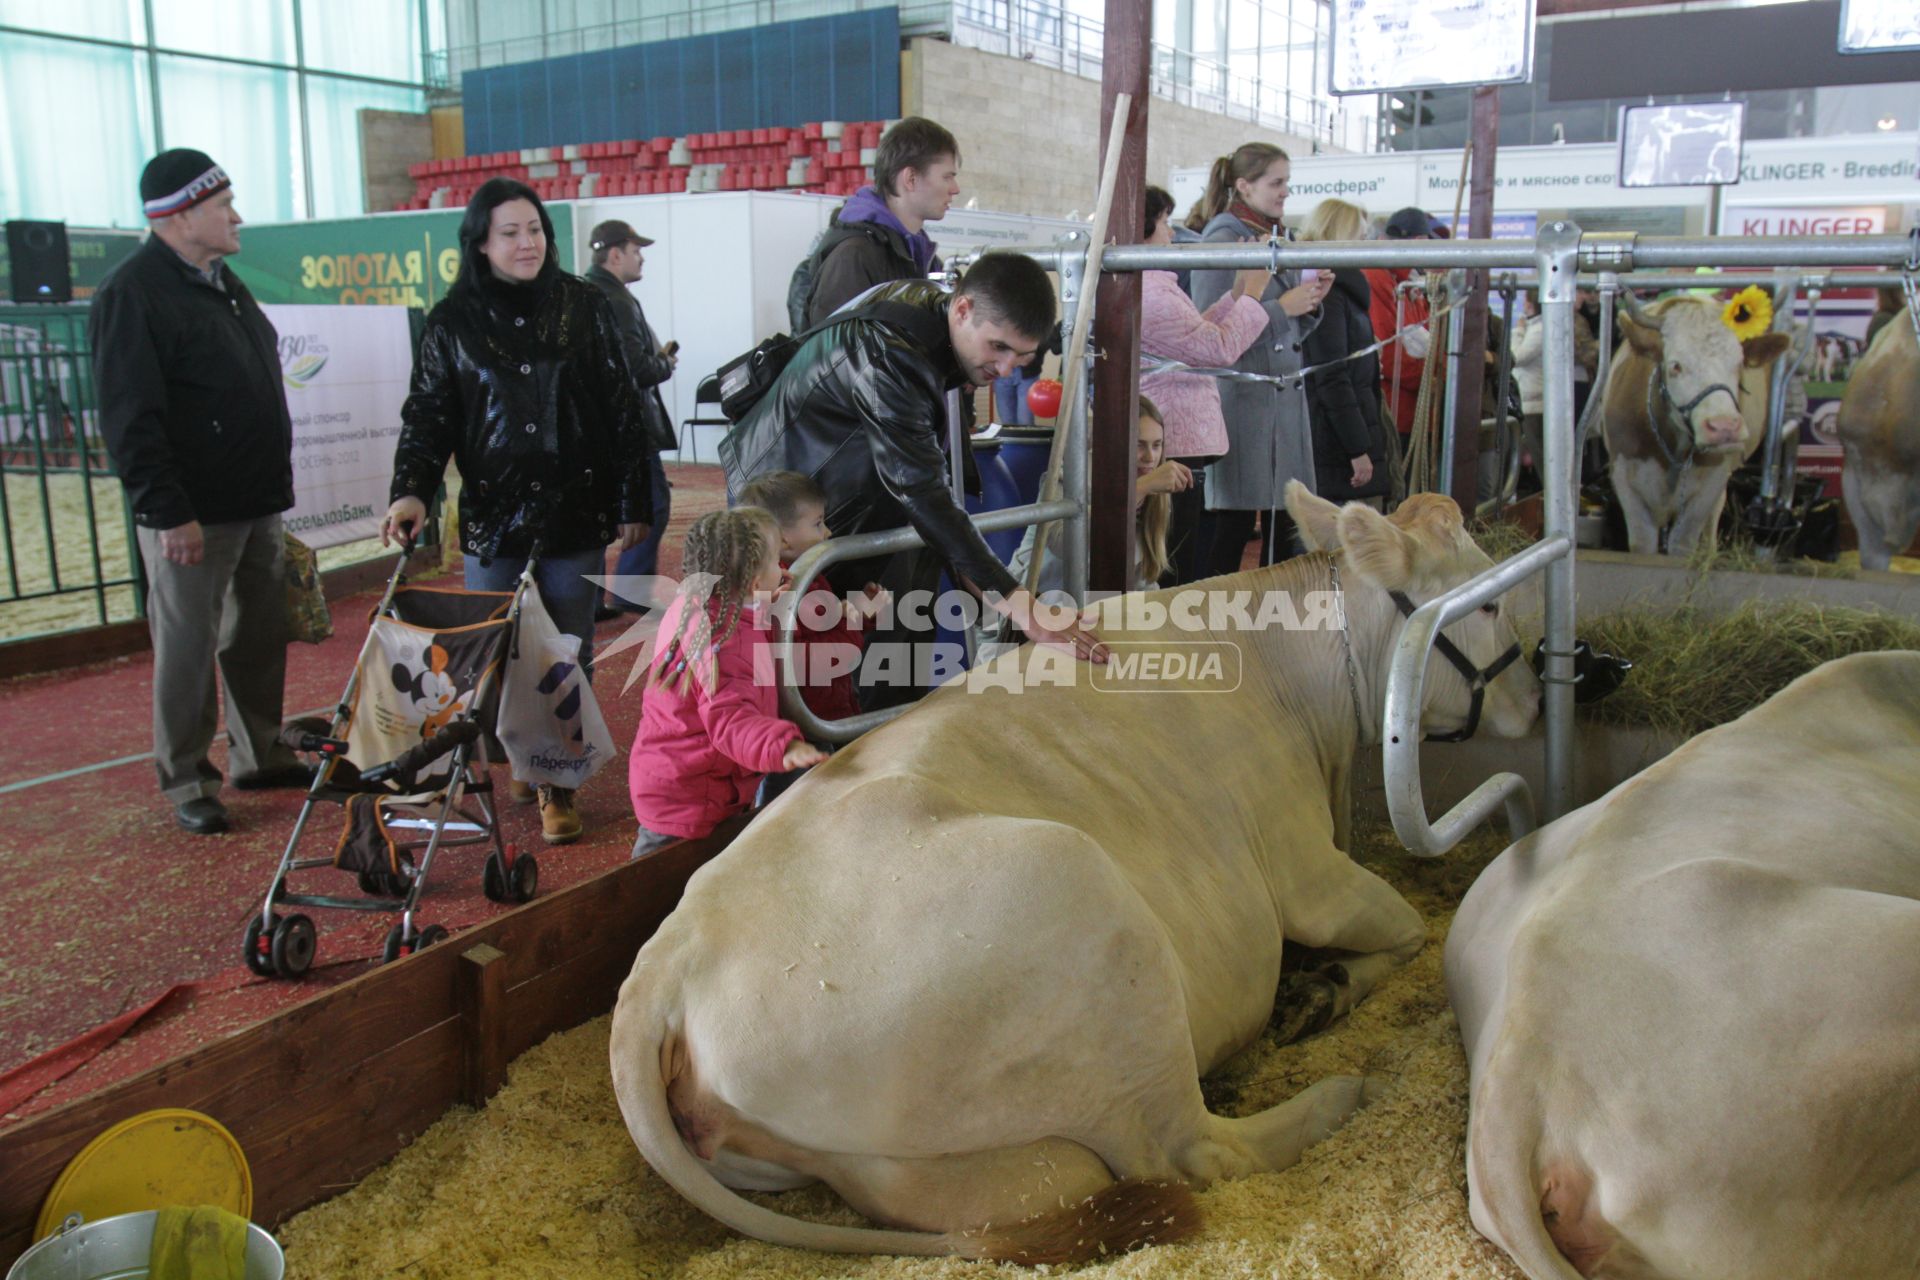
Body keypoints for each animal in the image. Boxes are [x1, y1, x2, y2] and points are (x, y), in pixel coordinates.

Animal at [606, 485, 1536, 1266]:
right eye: (1488, 599)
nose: (1538, 695)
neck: (1301, 693)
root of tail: (663, 970)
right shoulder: (1308, 869)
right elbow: (1410, 929)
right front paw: (1328, 988)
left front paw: (1324, 986)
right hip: (1091, 908)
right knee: (1194, 1151)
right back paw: (1341, 1094)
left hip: (922, 1165)